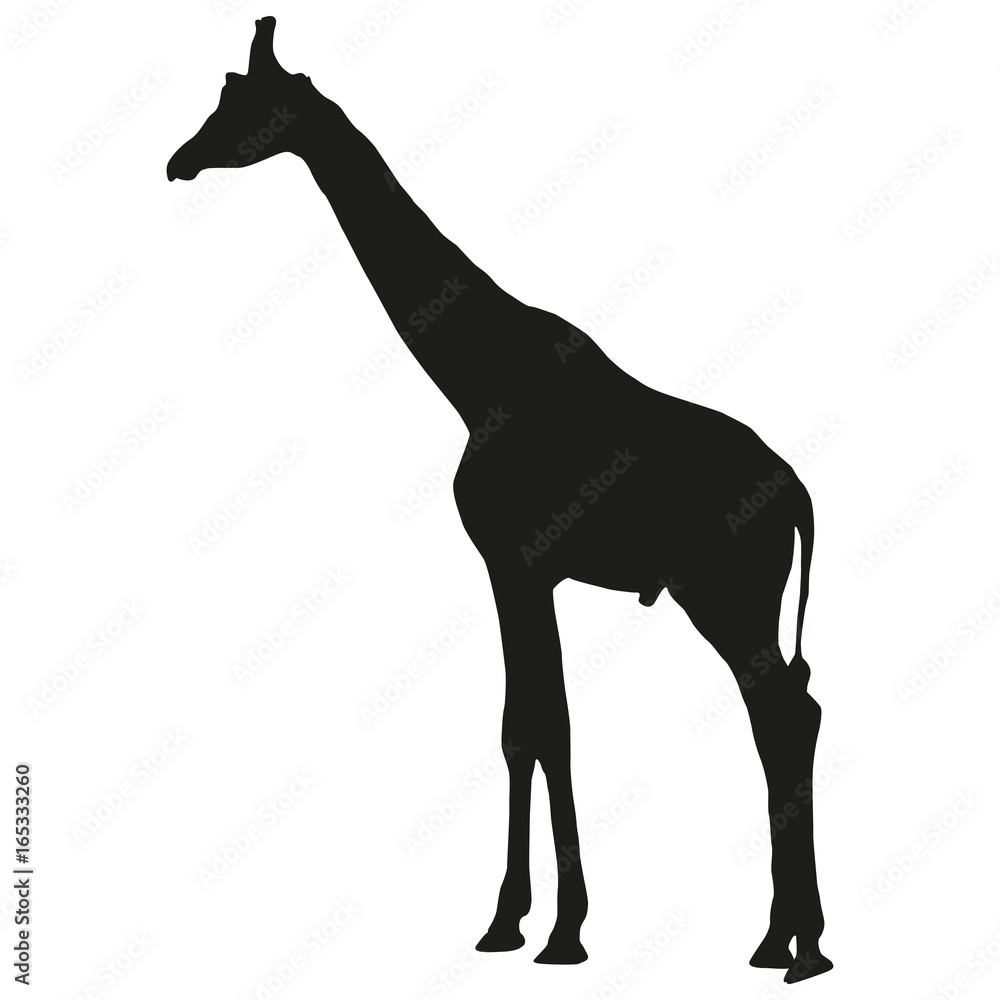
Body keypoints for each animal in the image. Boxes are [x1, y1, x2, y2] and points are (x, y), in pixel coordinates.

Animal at [167, 17, 833, 982]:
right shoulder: (523, 571)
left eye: (242, 100)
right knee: (786, 712)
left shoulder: (516, 563)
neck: (476, 379)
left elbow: (543, 728)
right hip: (728, 597)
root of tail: (799, 495)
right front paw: (515, 924)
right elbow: (527, 726)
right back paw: (780, 938)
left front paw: (556, 931)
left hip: (726, 593)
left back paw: (802, 945)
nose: (178, 161)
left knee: (785, 713)